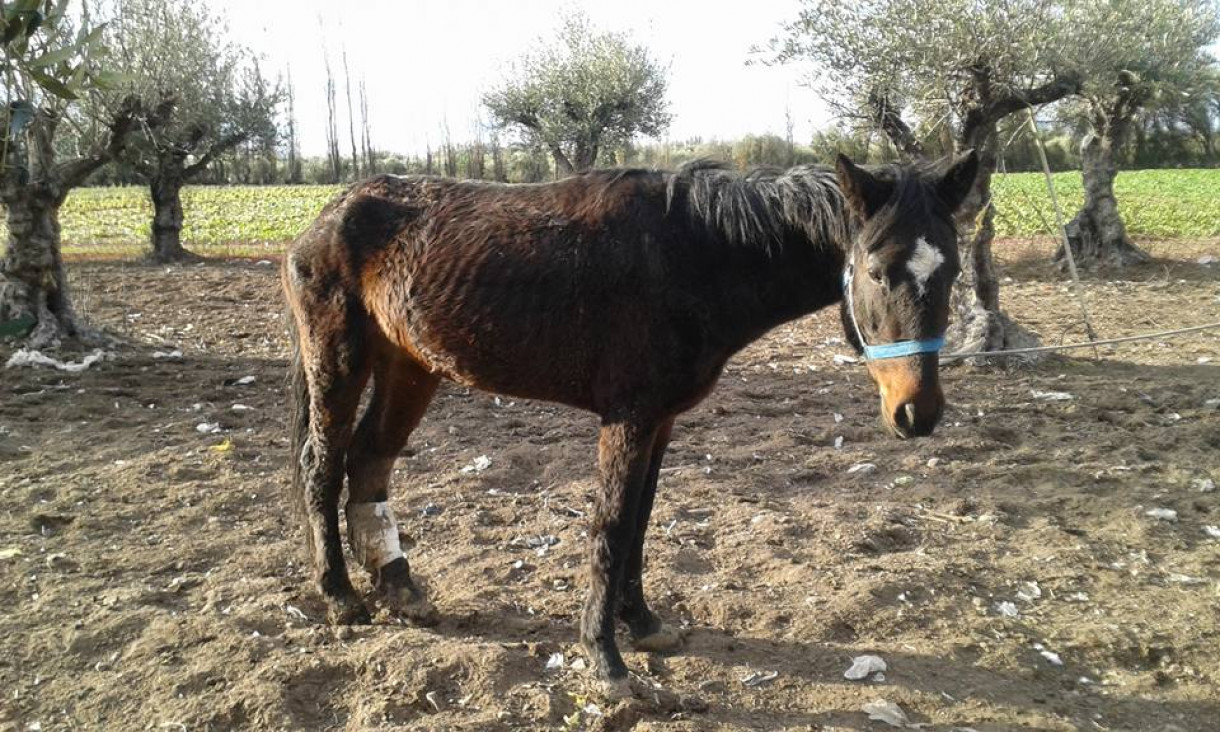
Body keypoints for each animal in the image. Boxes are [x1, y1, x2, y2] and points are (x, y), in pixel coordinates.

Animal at [282, 151, 979, 699]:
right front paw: (606, 661)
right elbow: (612, 528)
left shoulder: (660, 422)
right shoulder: (629, 418)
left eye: (951, 271)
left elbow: (641, 524)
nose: (917, 413)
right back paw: (339, 595)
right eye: (877, 270)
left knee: (370, 460)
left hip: (411, 367)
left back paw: (399, 585)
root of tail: (326, 216)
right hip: (339, 362)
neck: (695, 254)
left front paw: (641, 623)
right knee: (324, 464)